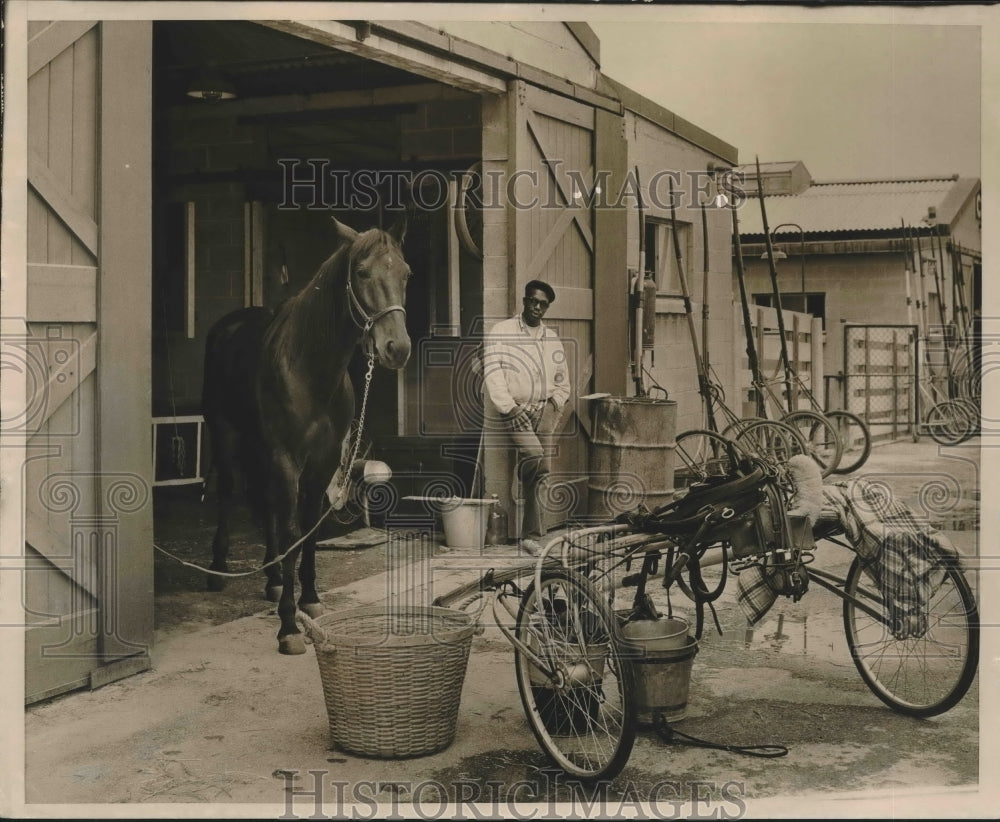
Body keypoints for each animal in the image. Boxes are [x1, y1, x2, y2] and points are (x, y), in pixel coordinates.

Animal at [203, 216, 410, 652]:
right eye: (361, 272)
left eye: (406, 273)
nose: (396, 348)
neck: (310, 369)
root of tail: (228, 325)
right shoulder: (287, 458)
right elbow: (293, 531)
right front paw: (288, 627)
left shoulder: (322, 461)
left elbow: (310, 529)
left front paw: (310, 598)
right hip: (226, 435)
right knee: (230, 491)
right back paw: (218, 568)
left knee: (265, 503)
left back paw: (272, 577)